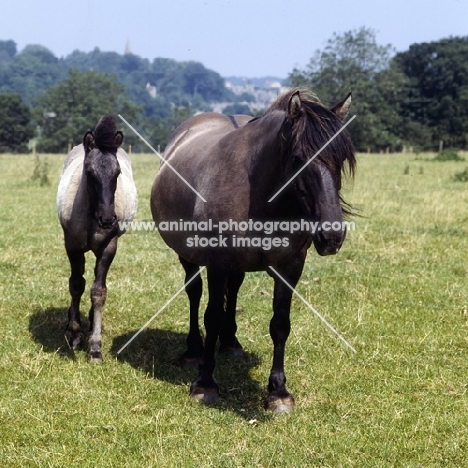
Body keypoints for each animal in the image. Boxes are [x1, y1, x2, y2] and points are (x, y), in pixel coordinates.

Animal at [56, 116, 137, 362]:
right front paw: (74, 334)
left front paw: (95, 347)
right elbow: (76, 285)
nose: (108, 219)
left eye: (117, 173)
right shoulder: (72, 245)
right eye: (89, 172)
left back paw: (92, 322)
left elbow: (99, 292)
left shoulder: (109, 247)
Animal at [150, 89, 354, 412]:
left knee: (232, 291)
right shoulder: (217, 263)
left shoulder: (290, 267)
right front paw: (205, 383)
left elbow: (280, 324)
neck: (259, 195)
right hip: (188, 255)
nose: (331, 236)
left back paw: (230, 343)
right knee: (194, 294)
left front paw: (278, 391)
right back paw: (193, 351)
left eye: (341, 158)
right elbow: (211, 316)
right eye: (297, 159)